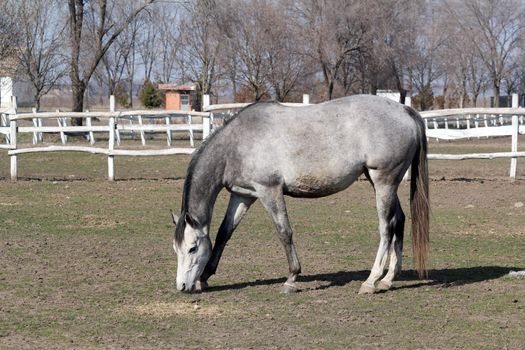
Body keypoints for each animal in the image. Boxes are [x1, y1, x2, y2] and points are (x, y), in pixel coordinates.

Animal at [173, 94, 430, 294]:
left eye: (192, 248)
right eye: (176, 249)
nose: (183, 286)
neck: (238, 142)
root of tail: (405, 110)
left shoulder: (270, 191)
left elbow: (284, 232)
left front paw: (291, 279)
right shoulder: (244, 195)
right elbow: (224, 233)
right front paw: (205, 277)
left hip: (383, 182)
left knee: (386, 228)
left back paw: (371, 281)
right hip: (382, 183)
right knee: (399, 221)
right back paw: (388, 279)